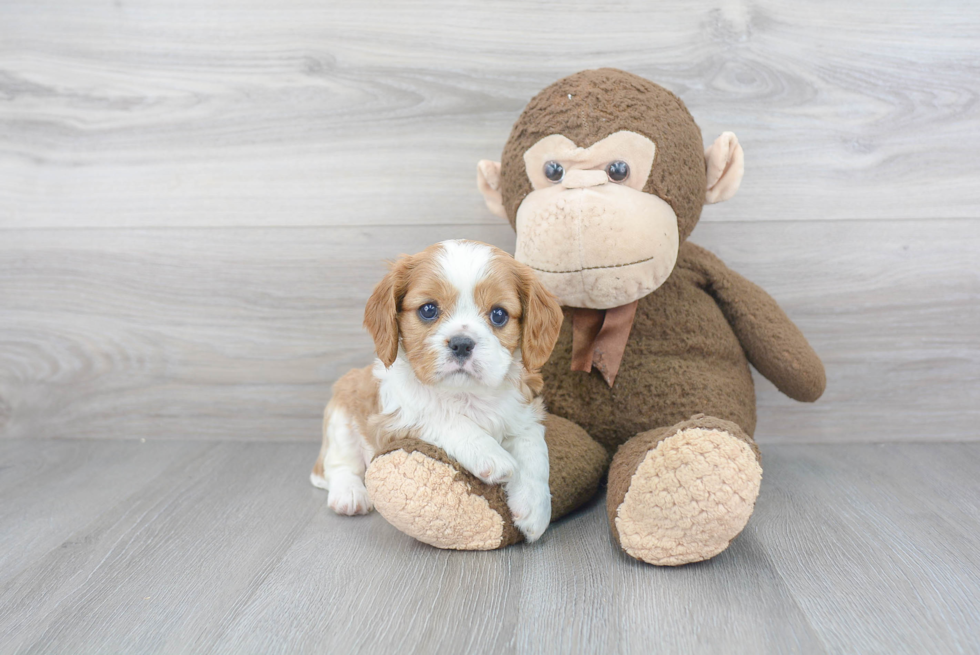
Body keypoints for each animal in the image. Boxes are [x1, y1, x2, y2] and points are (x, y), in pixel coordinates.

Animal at [310, 241, 564, 544]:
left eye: (499, 314)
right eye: (428, 309)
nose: (462, 343)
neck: (466, 394)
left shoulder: (525, 411)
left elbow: (534, 448)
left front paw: (535, 508)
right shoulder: (395, 419)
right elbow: (444, 418)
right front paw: (490, 454)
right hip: (343, 411)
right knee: (338, 466)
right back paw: (349, 495)